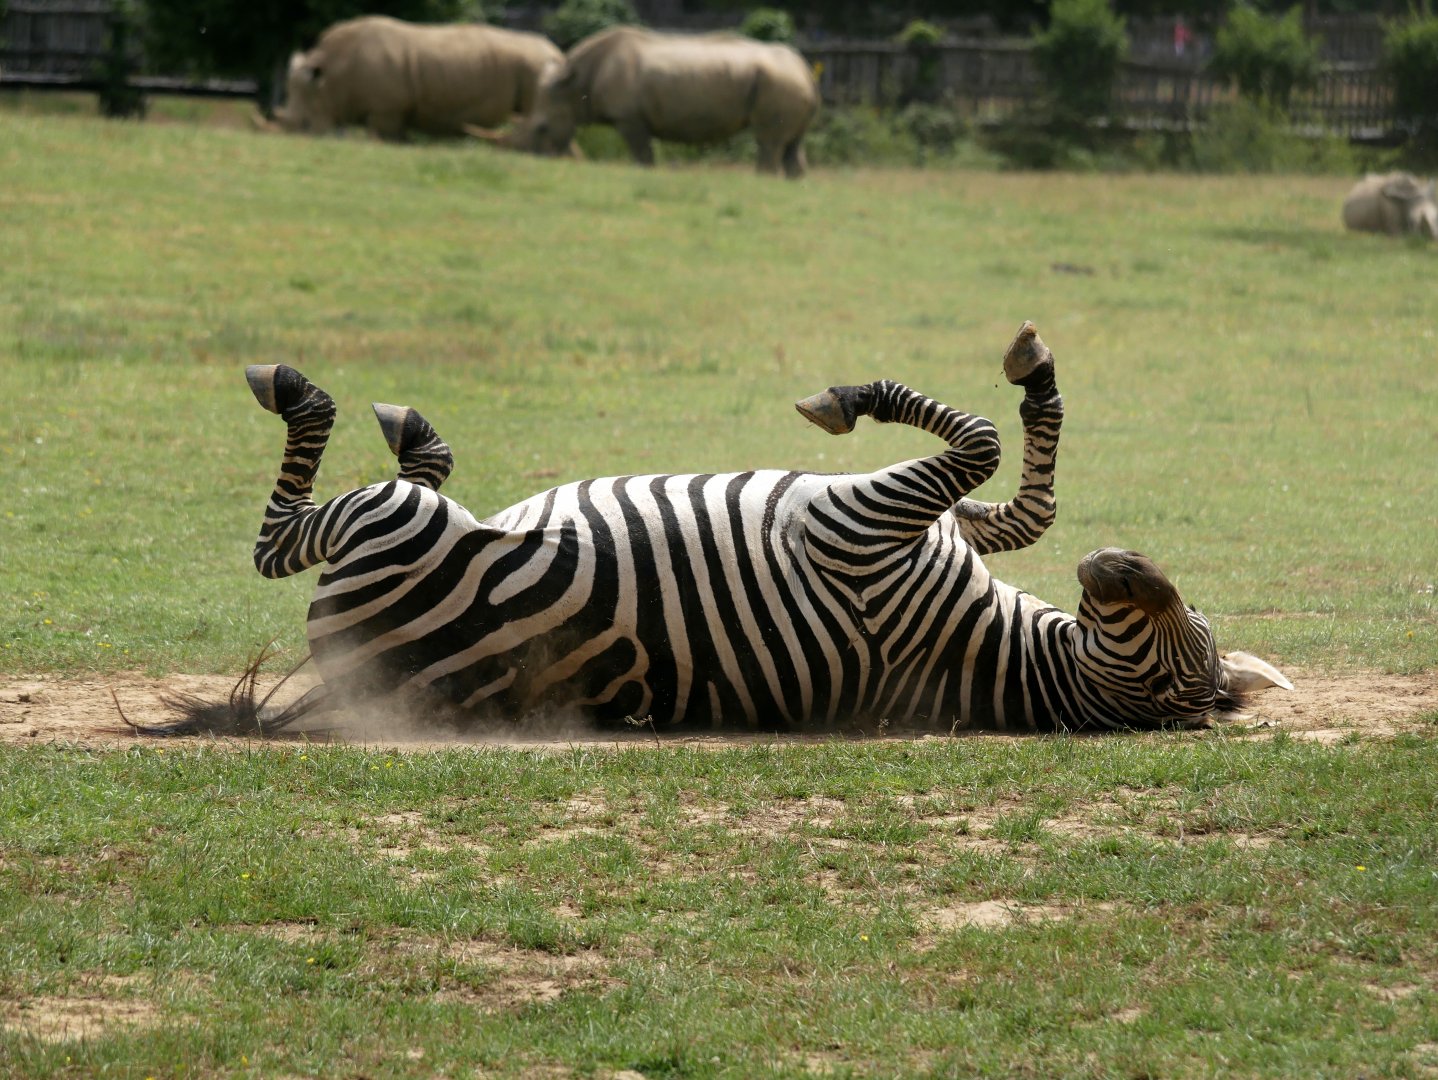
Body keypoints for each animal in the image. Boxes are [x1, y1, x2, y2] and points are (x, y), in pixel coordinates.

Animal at [146, 322, 1290, 737]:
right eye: (1198, 624)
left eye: (1181, 651)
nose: (1120, 564)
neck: (999, 659)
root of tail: (350, 682)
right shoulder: (943, 529)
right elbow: (1019, 492)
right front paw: (1035, 373)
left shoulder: (861, 526)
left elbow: (973, 441)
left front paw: (843, 399)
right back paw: (415, 428)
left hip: (390, 534)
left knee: (287, 535)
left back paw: (307, 393)